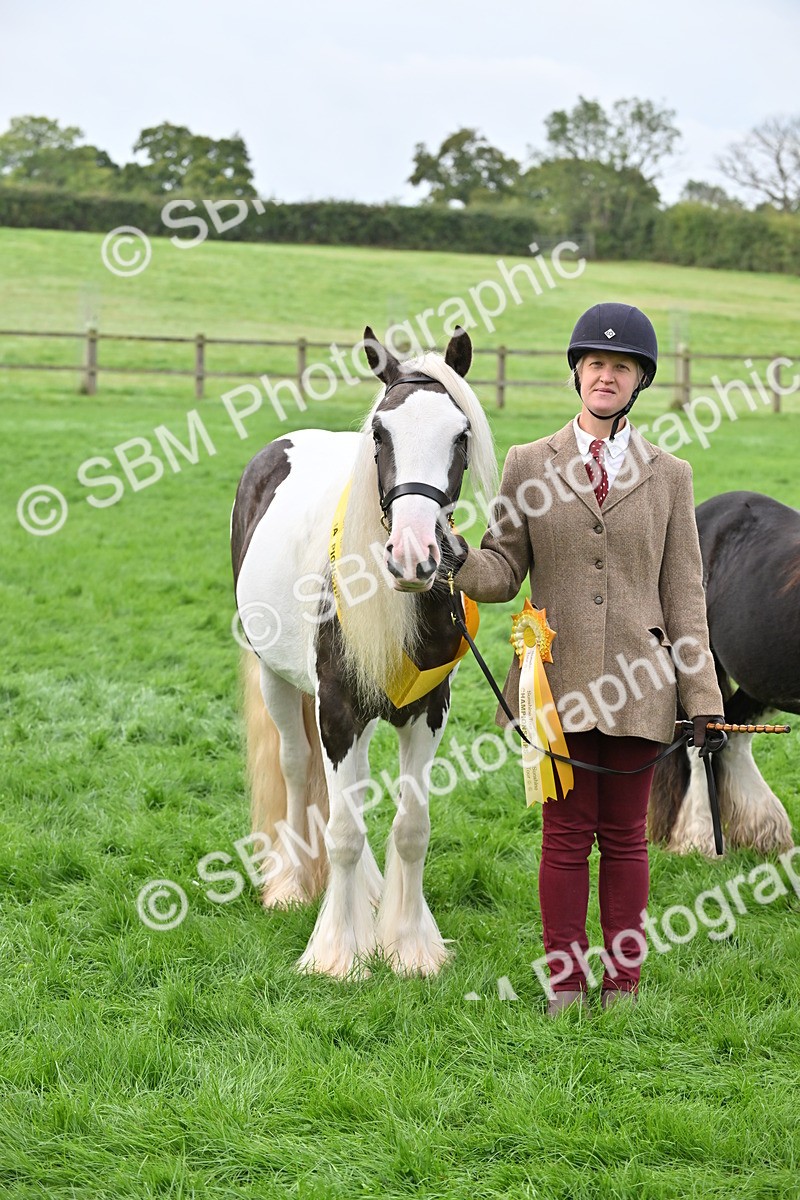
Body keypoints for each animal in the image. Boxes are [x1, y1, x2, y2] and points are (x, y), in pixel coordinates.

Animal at [231, 326, 498, 979]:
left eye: (461, 435)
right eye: (380, 433)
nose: (414, 556)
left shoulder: (426, 712)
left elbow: (410, 827)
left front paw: (408, 945)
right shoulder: (338, 710)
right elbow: (344, 830)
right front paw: (337, 953)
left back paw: (368, 894)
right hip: (280, 682)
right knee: (297, 768)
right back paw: (291, 885)